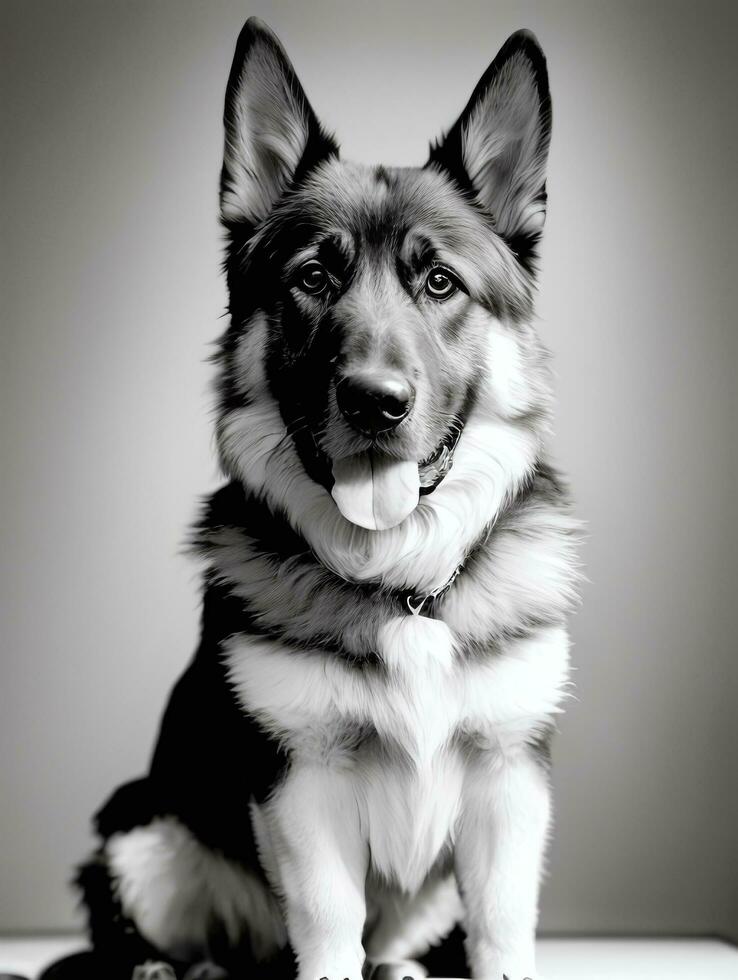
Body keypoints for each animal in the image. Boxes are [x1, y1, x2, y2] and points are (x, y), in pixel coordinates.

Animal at [40, 15, 580, 980]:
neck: (405, 586)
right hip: (144, 832)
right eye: (314, 278)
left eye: (439, 282)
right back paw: (174, 967)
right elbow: (329, 924)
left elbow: (501, 924)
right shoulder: (303, 784)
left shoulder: (508, 780)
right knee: (152, 932)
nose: (375, 402)